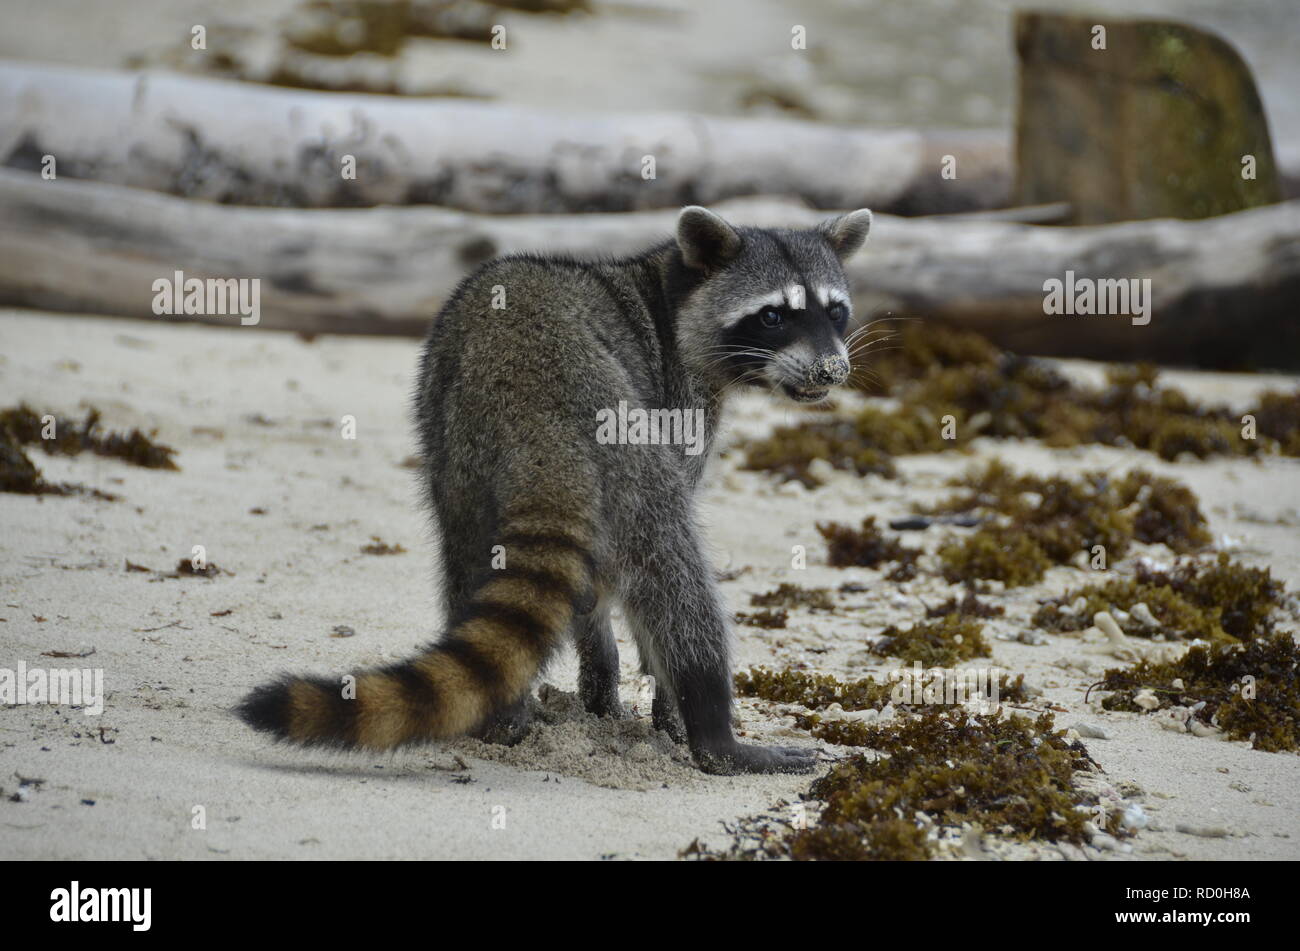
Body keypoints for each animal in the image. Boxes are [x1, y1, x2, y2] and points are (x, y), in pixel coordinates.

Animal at [238, 205, 872, 774]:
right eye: (774, 317)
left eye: (835, 311)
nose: (831, 371)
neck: (667, 292)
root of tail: (537, 413)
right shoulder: (676, 404)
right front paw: (665, 706)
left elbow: (588, 585)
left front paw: (601, 676)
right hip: (626, 452)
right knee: (675, 568)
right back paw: (714, 734)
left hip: (455, 454)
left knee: (467, 562)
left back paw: (503, 718)